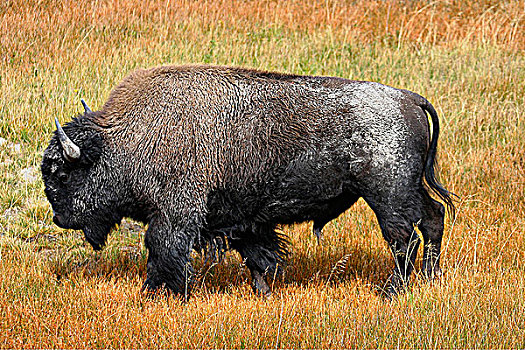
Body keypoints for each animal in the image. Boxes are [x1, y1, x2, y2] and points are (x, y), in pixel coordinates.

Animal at [41, 64, 452, 296]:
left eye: (62, 172)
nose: (60, 218)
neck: (126, 139)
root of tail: (410, 99)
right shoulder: (243, 219)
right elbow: (259, 256)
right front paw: (264, 292)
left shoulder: (176, 215)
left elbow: (162, 251)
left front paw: (160, 294)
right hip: (409, 190)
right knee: (433, 218)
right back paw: (429, 278)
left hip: (387, 196)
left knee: (403, 240)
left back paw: (391, 292)